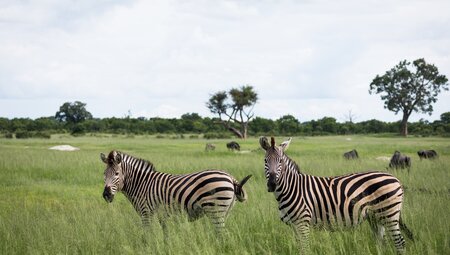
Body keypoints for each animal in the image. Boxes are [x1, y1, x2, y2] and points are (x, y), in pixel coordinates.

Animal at [100, 150, 251, 232]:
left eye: (117, 174)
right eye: (104, 174)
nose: (106, 195)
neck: (142, 184)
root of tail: (230, 177)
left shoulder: (146, 213)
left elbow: (147, 236)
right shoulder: (161, 215)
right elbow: (165, 235)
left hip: (216, 210)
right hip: (225, 211)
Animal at [258, 135, 414, 253]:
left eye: (280, 161)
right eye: (265, 161)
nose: (272, 184)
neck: (292, 189)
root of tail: (395, 178)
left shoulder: (303, 223)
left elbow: (304, 248)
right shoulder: (294, 225)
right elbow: (299, 248)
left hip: (389, 213)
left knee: (400, 242)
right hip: (376, 216)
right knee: (380, 241)